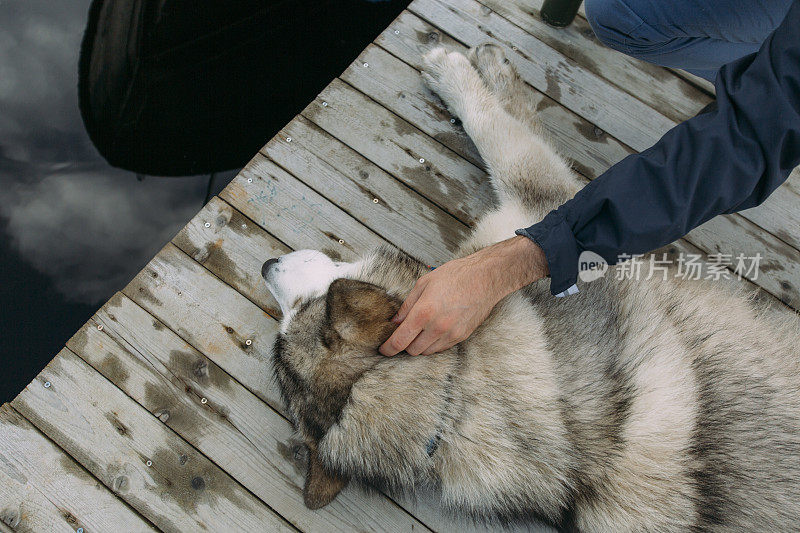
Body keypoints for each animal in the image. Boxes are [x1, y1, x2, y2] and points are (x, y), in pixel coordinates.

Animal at [260, 43, 800, 528]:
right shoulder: (544, 207)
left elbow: (502, 128)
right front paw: (467, 70)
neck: (454, 391)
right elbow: (502, 129)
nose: (266, 264)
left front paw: (479, 69)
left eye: (302, 306)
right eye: (289, 318)